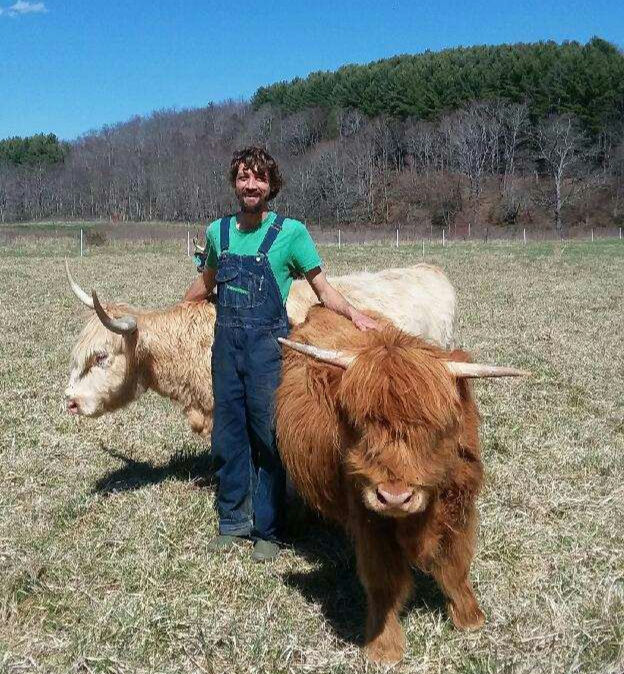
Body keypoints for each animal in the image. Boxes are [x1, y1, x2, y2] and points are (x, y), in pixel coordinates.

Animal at [275, 306, 529, 663]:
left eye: (435, 427)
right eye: (360, 425)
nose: (394, 497)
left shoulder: (460, 505)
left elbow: (456, 565)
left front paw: (470, 617)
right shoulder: (368, 517)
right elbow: (383, 582)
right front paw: (384, 647)